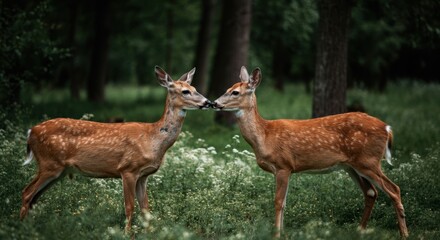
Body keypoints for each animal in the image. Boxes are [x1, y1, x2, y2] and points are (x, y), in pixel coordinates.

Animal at [20, 65, 211, 232]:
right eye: (185, 91)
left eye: (194, 87)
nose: (207, 102)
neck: (153, 138)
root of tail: (31, 132)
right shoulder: (127, 169)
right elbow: (129, 206)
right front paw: (128, 234)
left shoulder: (144, 176)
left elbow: (146, 208)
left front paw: (149, 233)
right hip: (49, 164)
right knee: (27, 193)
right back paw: (20, 228)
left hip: (59, 171)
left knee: (34, 197)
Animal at [211, 66, 408, 238]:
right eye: (227, 88)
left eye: (235, 92)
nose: (214, 103)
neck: (265, 137)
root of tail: (387, 128)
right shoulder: (285, 169)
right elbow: (284, 203)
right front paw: (284, 234)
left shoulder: (283, 165)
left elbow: (278, 202)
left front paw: (276, 235)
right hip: (352, 166)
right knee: (371, 193)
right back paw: (360, 231)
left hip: (368, 160)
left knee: (394, 189)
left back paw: (404, 234)